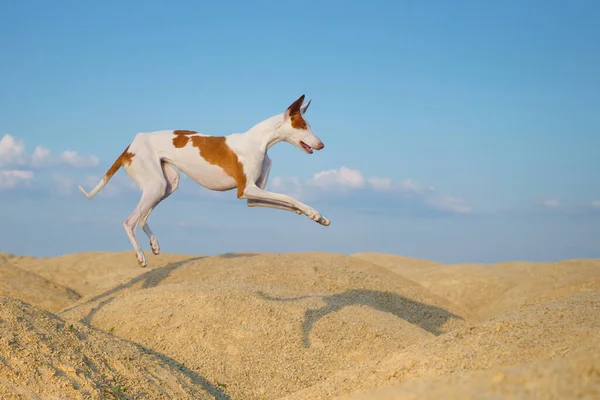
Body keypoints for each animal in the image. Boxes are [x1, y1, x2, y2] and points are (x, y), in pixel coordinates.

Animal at [77, 95, 330, 268]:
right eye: (303, 126)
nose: (322, 145)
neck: (259, 141)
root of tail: (131, 144)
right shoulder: (245, 189)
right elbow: (287, 196)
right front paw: (313, 212)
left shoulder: (253, 196)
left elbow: (286, 202)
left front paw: (315, 216)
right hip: (156, 186)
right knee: (129, 221)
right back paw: (140, 256)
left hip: (167, 184)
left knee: (142, 217)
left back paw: (154, 244)